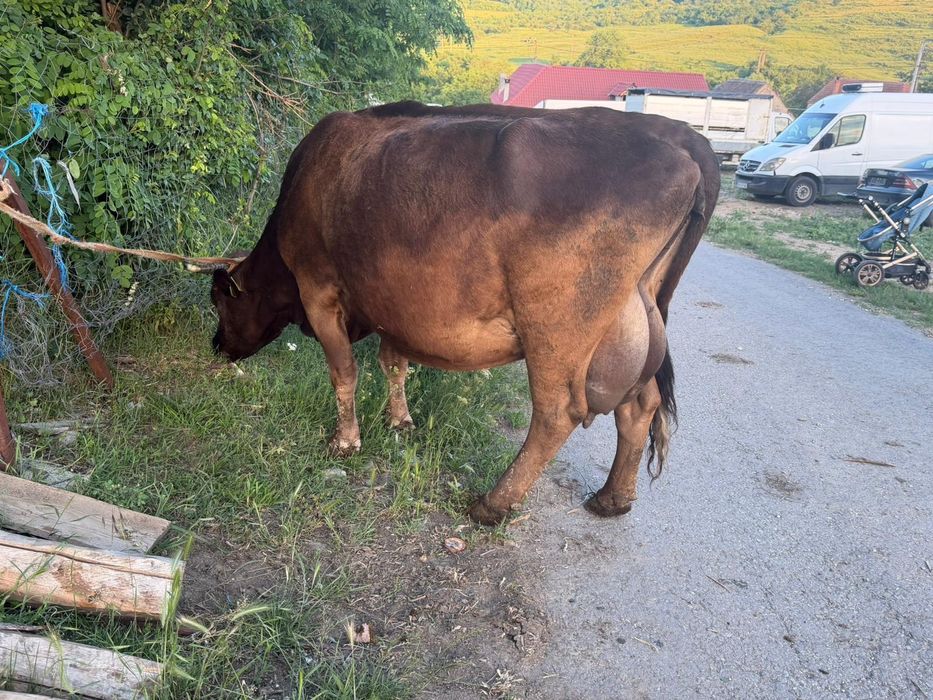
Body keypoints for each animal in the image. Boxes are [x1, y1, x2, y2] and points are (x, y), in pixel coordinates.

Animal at [210, 101, 719, 525]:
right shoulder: (394, 305)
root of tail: (684, 141)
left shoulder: (319, 290)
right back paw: (612, 499)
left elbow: (344, 373)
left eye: (219, 302)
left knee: (557, 412)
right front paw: (400, 421)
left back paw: (492, 504)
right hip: (636, 314)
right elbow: (393, 364)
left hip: (558, 325)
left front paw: (345, 442)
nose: (217, 346)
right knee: (640, 403)